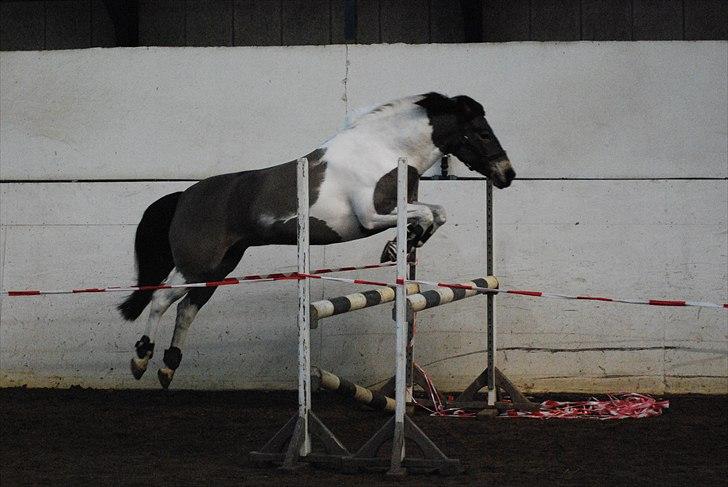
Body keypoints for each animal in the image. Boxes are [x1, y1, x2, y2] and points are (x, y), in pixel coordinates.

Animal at [119, 91, 516, 388]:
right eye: (482, 133)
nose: (507, 175)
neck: (384, 150)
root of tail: (184, 196)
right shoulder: (372, 215)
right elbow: (429, 214)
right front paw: (400, 243)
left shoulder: (398, 207)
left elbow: (437, 212)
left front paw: (403, 243)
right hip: (196, 264)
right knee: (160, 299)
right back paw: (141, 358)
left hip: (220, 266)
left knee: (187, 308)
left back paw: (168, 366)